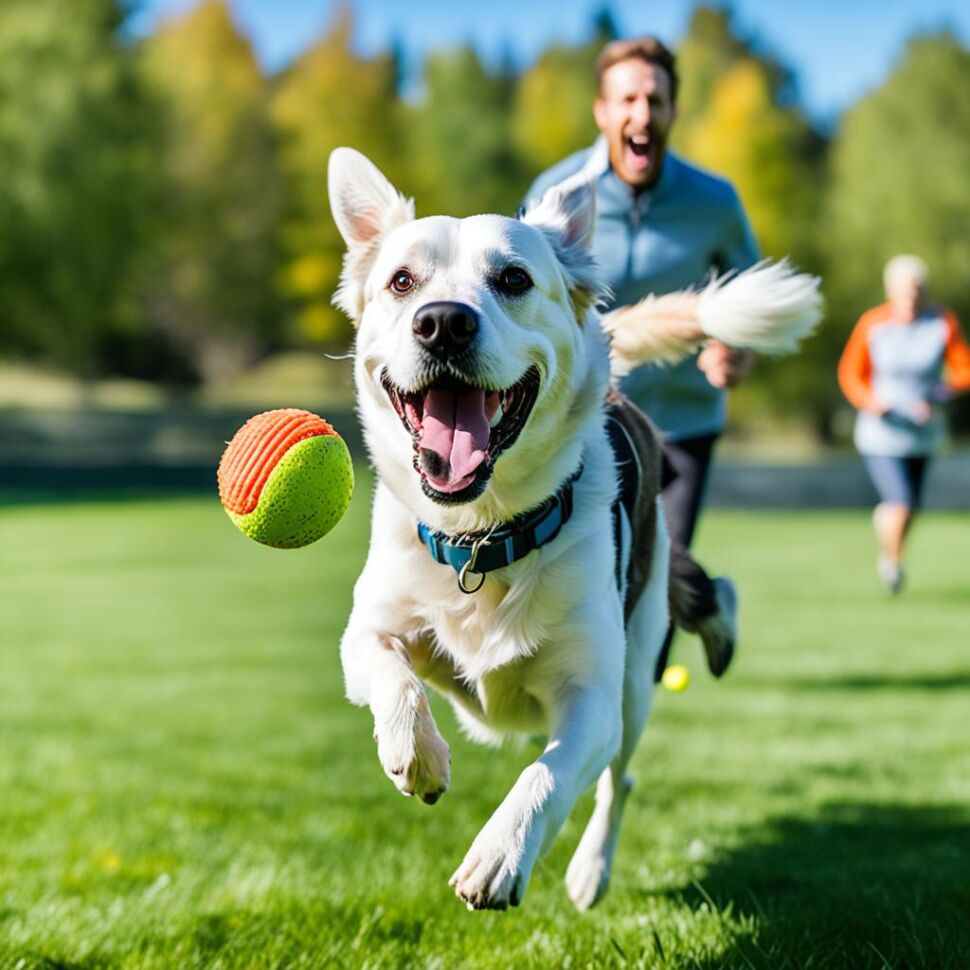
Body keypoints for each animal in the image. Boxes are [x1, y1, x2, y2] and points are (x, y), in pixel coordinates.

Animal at [326, 147, 816, 912]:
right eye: (401, 282)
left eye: (513, 279)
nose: (443, 322)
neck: (483, 537)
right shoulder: (371, 628)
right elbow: (391, 674)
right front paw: (418, 753)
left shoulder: (593, 698)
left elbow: (548, 777)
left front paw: (500, 855)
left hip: (637, 678)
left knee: (622, 773)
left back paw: (591, 868)